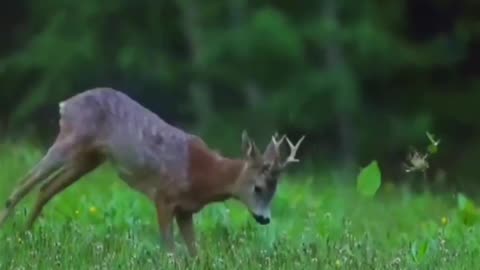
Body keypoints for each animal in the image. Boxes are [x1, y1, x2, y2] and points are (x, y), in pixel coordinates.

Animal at [0, 88, 304, 255]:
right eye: (258, 187)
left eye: (275, 191)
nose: (264, 219)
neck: (203, 174)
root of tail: (66, 104)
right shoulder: (163, 197)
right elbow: (170, 250)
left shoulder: (185, 210)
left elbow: (196, 253)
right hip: (71, 138)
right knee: (23, 182)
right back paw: (9, 232)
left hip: (89, 157)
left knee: (45, 188)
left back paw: (25, 235)